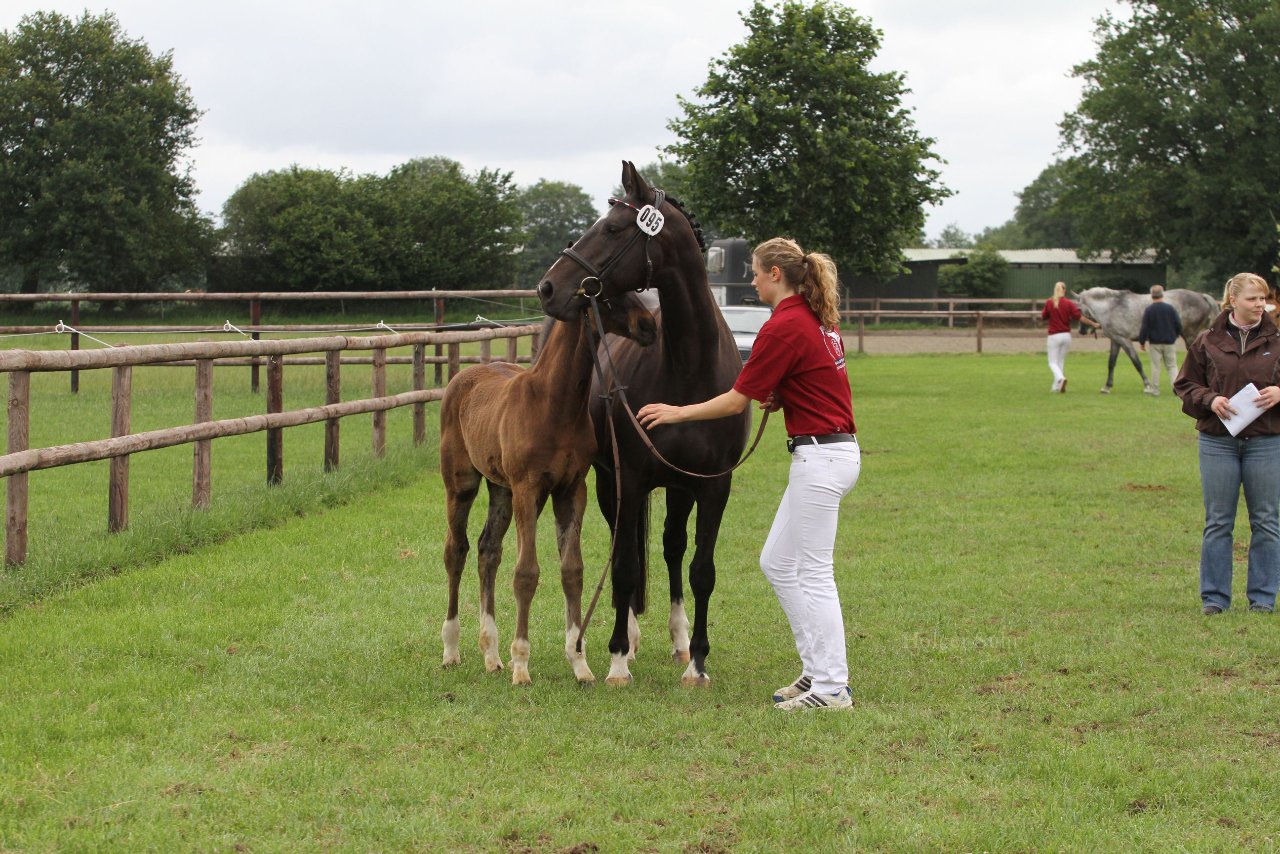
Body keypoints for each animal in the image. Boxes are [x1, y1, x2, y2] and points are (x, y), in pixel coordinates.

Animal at [1070, 286, 1218, 394]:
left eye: (1078, 309)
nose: (1081, 330)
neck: (1112, 307)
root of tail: (1201, 296)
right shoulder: (1116, 340)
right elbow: (1111, 363)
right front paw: (1107, 386)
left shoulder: (1124, 340)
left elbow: (1136, 362)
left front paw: (1147, 385)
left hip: (1190, 336)